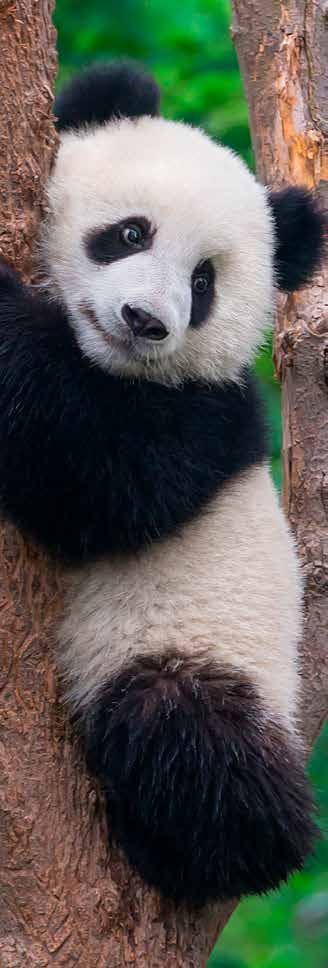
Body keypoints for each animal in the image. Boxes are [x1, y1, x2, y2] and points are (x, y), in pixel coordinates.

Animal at [0, 64, 324, 912]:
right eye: (130, 233)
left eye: (203, 282)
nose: (146, 320)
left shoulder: (205, 416)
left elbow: (93, 468)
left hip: (200, 649)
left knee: (193, 741)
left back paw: (195, 847)